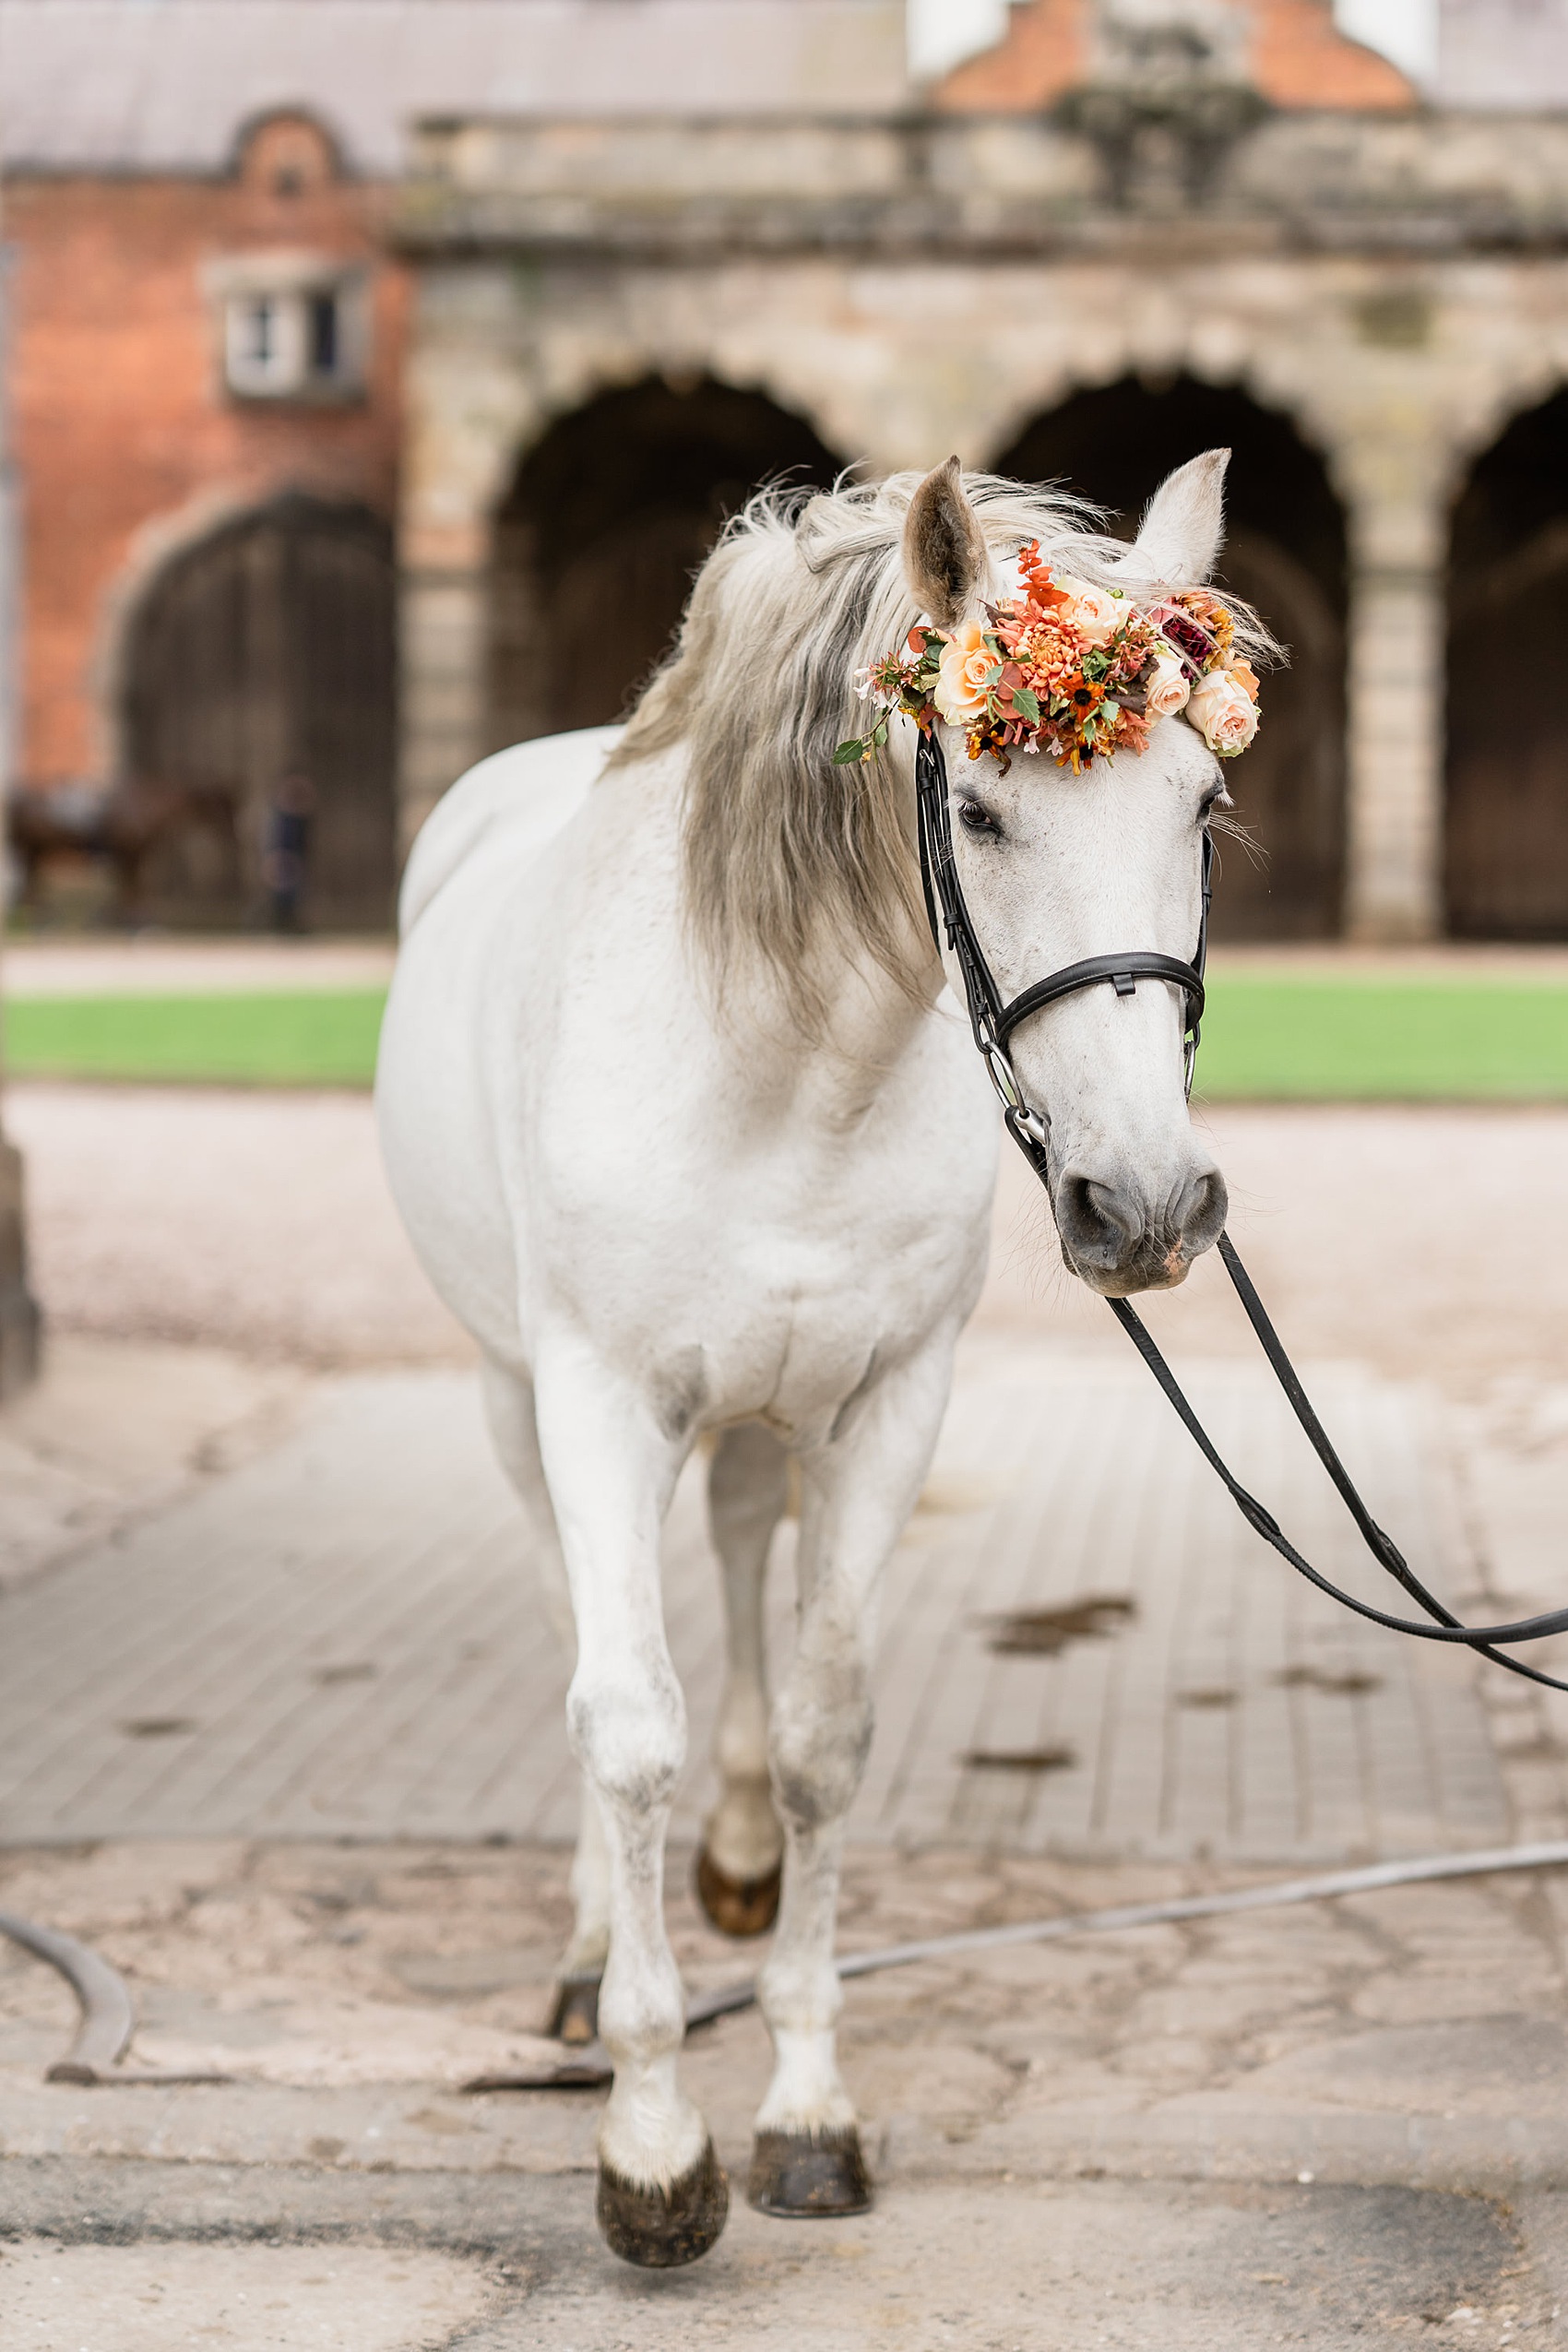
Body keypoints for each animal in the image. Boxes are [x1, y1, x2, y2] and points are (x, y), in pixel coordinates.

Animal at [375, 449, 1241, 2267]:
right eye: (977, 808)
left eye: (1200, 809)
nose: (1144, 1201)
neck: (778, 1069)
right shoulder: (600, 1401)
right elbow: (627, 1723)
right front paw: (652, 2148)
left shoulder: (886, 1403)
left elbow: (830, 1735)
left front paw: (807, 2112)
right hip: (514, 1401)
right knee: (582, 1641)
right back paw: (587, 1959)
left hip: (767, 1410)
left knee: (736, 1554)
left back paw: (733, 1858)